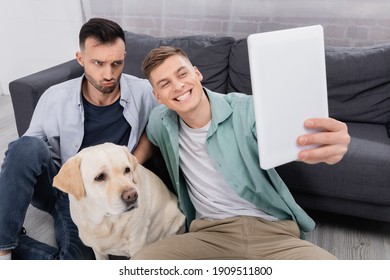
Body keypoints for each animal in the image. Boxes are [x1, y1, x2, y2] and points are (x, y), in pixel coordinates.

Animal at [52, 143, 185, 260]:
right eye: (99, 177)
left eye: (127, 170)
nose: (132, 195)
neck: (104, 222)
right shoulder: (98, 251)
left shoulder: (136, 246)